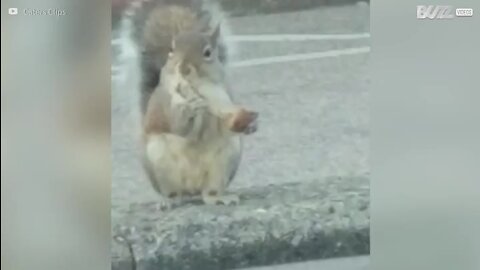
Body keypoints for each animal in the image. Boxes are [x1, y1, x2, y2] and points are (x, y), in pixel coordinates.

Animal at [124, 0, 258, 209]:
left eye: (208, 53)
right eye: (171, 51)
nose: (184, 68)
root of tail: (192, 189)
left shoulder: (225, 93)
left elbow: (225, 119)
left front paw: (249, 123)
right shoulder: (165, 102)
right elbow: (178, 127)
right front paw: (188, 109)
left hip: (224, 161)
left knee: (209, 194)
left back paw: (219, 198)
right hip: (159, 161)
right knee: (173, 193)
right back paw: (168, 201)